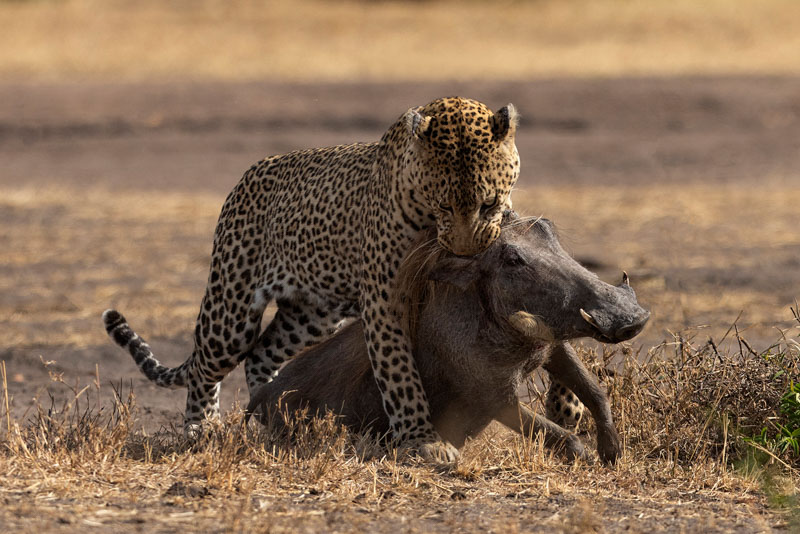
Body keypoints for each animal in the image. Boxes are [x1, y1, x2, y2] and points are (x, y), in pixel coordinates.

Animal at [102, 96, 521, 462]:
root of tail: (245, 177)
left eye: (489, 203)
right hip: (231, 313)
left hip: (312, 316)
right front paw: (422, 441)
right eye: (444, 205)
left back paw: (275, 415)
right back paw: (201, 430)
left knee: (261, 355)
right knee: (204, 367)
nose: (465, 250)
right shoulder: (385, 301)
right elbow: (399, 372)